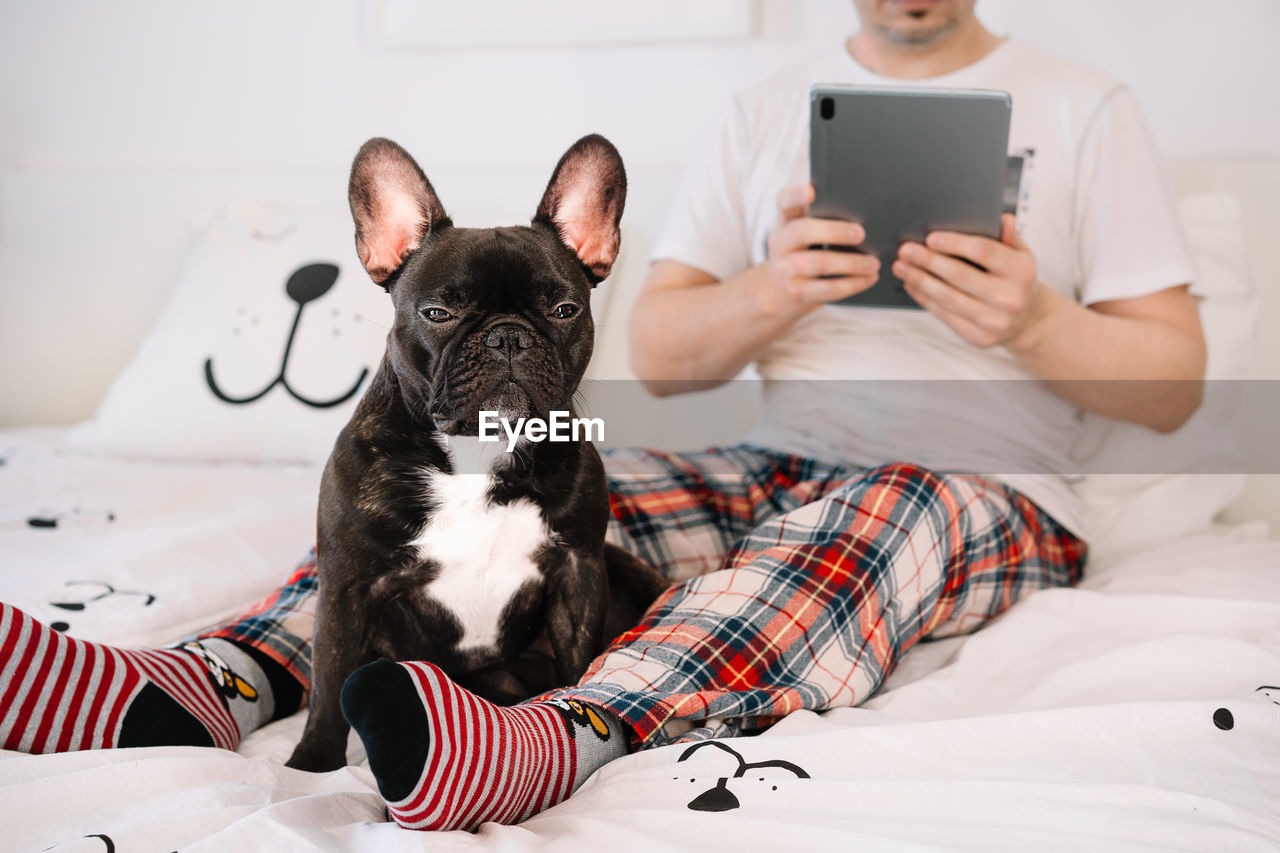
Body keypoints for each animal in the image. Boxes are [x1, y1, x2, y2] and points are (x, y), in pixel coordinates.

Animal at [289, 133, 670, 768]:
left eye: (565, 310)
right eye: (438, 313)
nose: (508, 335)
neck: (479, 449)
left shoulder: (580, 568)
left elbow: (583, 659)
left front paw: (586, 714)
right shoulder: (346, 586)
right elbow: (328, 683)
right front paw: (310, 766)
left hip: (621, 566)